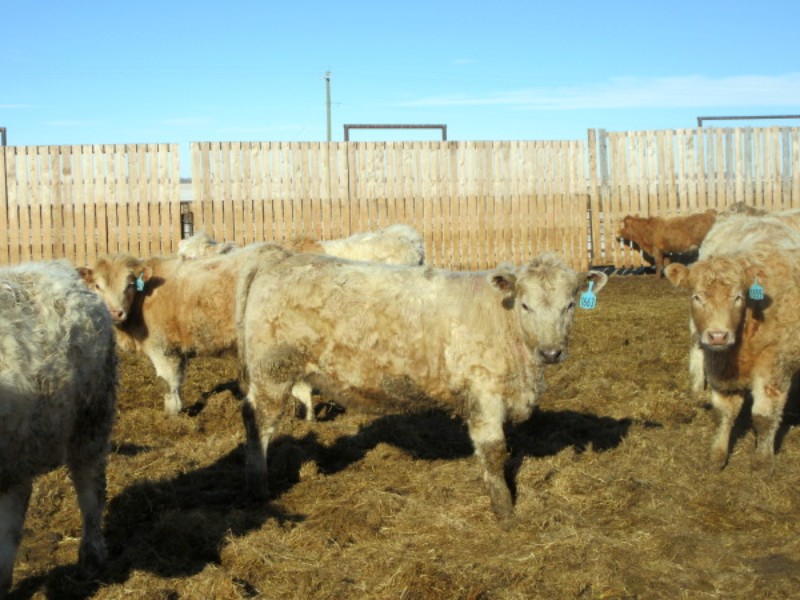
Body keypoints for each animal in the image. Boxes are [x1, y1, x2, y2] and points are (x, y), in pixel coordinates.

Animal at [234, 250, 608, 527]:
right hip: (272, 370)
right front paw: (505, 512)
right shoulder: (483, 393)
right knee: (258, 423)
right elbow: (493, 452)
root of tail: (279, 258)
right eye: (525, 305)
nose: (551, 352)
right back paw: (258, 488)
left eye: (569, 305)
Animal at [665, 250, 800, 471]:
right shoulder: (719, 367)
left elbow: (764, 416)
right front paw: (718, 455)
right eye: (697, 297)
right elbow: (723, 412)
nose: (718, 336)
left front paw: (763, 460)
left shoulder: (773, 365)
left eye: (738, 297)